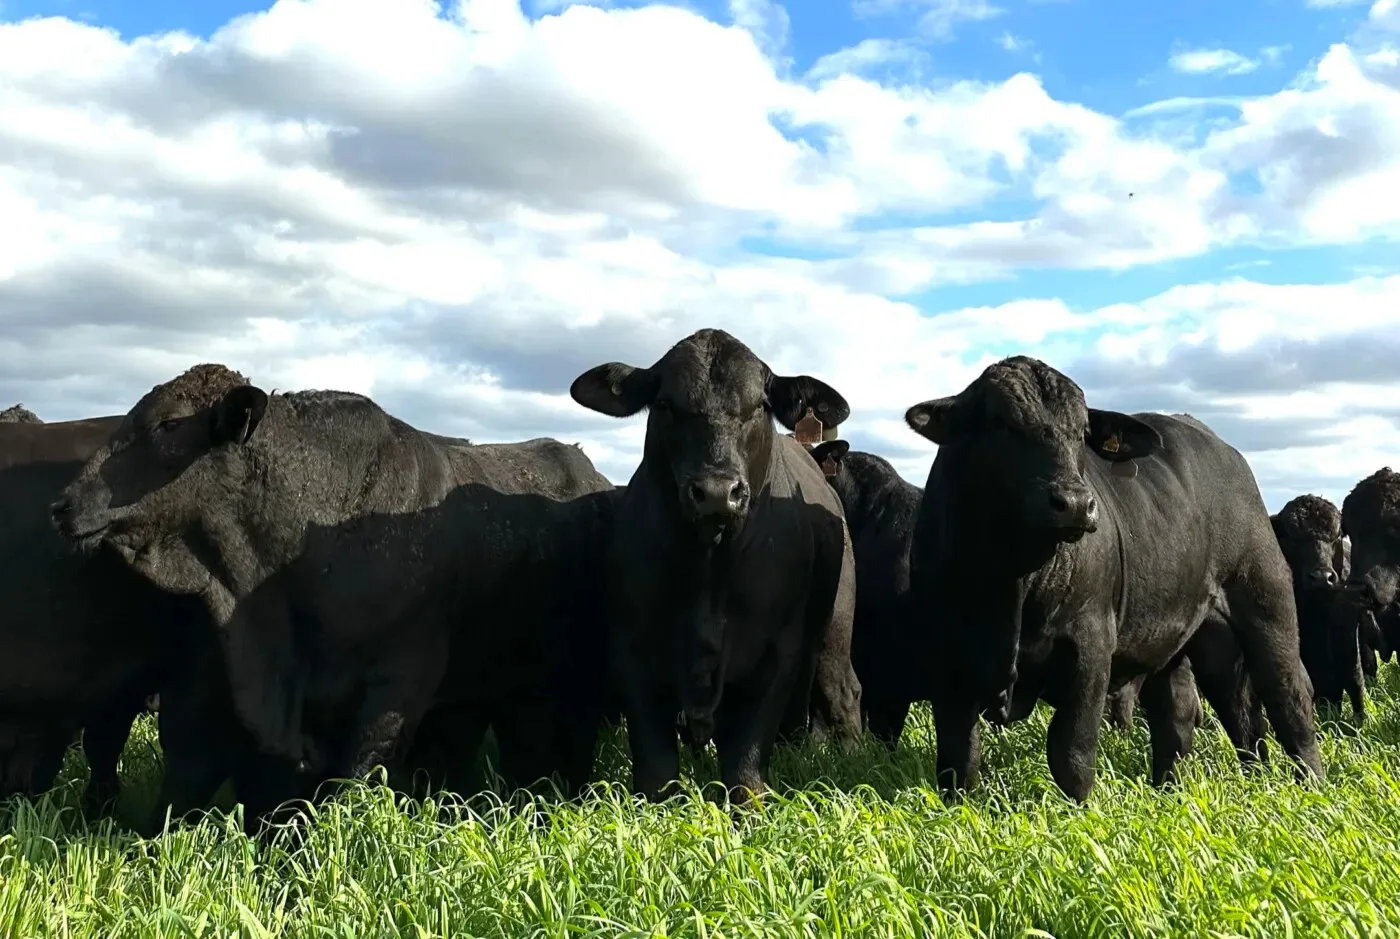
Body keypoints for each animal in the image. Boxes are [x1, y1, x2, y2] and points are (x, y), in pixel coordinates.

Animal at [571, 328, 862, 800]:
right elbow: (656, 768)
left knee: (842, 690)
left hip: (836, 623)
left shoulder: (775, 654)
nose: (716, 491)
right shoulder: (631, 650)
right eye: (666, 405)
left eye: (759, 406)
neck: (709, 571)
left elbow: (746, 766)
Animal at [901, 358, 1316, 800]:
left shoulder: (1091, 644)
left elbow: (1071, 752)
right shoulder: (947, 657)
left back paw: (1312, 785)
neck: (1012, 579)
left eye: (1083, 432)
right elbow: (958, 760)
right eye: (1000, 423)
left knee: (1289, 698)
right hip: (1194, 637)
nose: (1075, 504)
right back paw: (1185, 788)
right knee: (1202, 714)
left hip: (1266, 602)